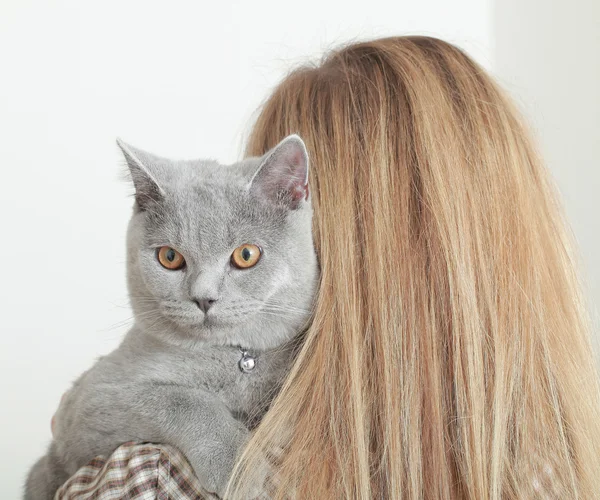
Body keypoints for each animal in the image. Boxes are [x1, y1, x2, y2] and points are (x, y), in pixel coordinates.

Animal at [23, 135, 318, 498]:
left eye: (246, 255)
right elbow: (186, 399)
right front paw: (240, 469)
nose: (203, 297)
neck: (237, 359)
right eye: (169, 257)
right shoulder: (89, 402)